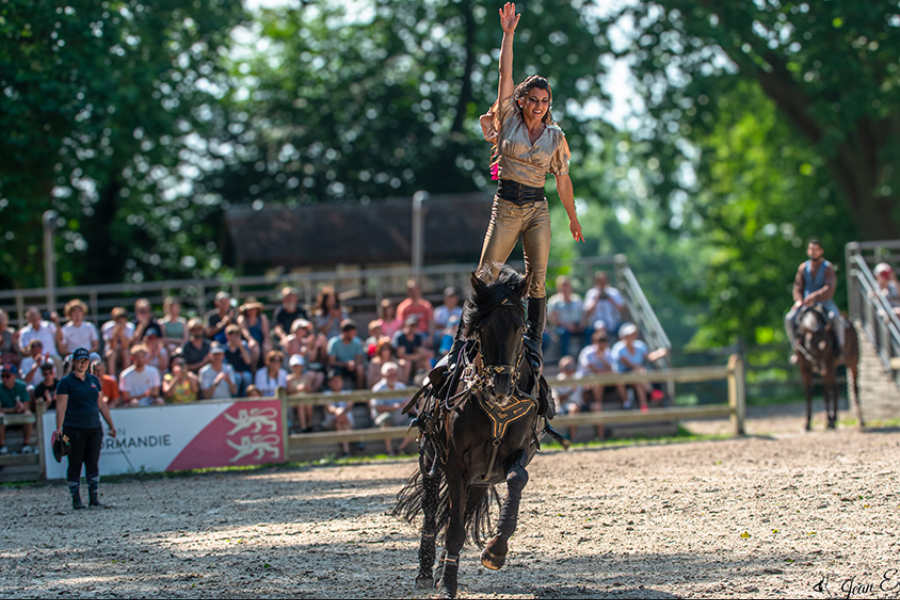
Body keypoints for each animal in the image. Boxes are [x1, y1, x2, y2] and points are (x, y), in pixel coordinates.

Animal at [396, 268, 556, 600]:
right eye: (481, 327)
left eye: (520, 327)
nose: (500, 386)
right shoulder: (456, 463)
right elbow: (454, 528)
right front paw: (447, 583)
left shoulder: (513, 455)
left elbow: (517, 478)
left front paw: (496, 551)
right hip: (432, 460)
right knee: (432, 511)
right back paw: (426, 572)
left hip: (481, 479)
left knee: (463, 509)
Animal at [796, 304, 864, 432]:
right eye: (814, 346)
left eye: (828, 345)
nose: (822, 368)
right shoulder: (805, 367)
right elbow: (809, 394)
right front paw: (807, 424)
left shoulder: (828, 363)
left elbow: (826, 394)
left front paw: (829, 422)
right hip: (832, 368)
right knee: (836, 388)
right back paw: (834, 419)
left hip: (851, 362)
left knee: (854, 388)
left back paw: (859, 420)